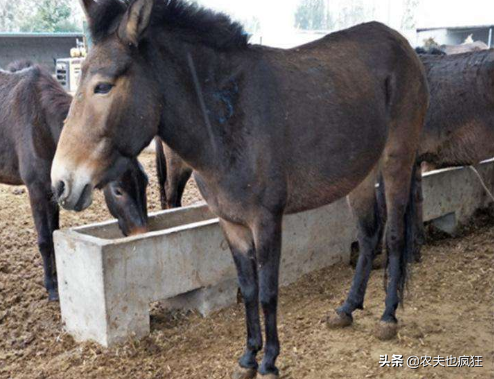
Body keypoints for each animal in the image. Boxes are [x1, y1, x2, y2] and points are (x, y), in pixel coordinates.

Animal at [0, 60, 149, 302]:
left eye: (145, 182)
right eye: (118, 191)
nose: (142, 233)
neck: (41, 124)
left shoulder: (54, 190)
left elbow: (53, 234)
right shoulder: (36, 190)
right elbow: (44, 240)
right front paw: (51, 288)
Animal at [51, 1, 428, 378]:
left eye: (103, 86)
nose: (61, 183)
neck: (228, 119)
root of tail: (402, 44)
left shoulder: (267, 221)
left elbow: (268, 291)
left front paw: (270, 361)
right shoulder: (231, 222)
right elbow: (247, 289)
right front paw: (248, 357)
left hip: (396, 161)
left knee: (394, 234)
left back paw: (388, 316)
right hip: (361, 174)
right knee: (368, 236)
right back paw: (348, 308)